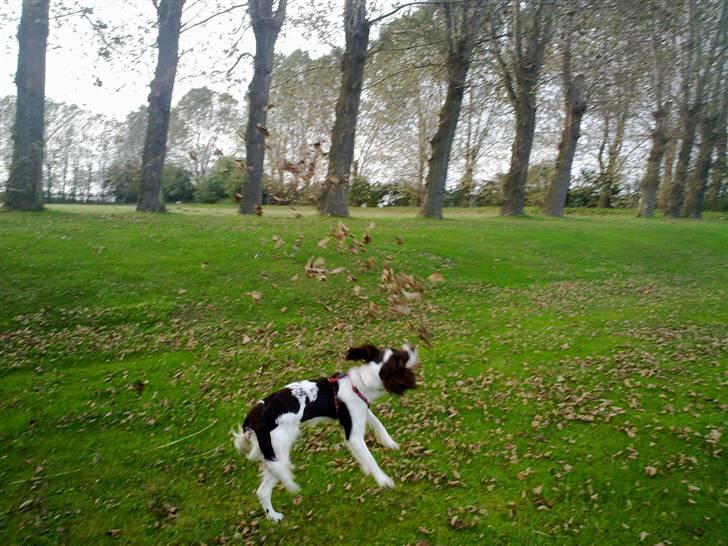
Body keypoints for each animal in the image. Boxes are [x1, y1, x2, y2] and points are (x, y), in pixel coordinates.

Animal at [230, 342, 418, 520]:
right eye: (402, 358)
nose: (413, 347)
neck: (360, 384)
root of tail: (258, 414)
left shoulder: (360, 411)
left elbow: (378, 424)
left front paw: (389, 443)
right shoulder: (353, 434)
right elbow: (370, 457)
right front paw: (383, 479)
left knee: (261, 491)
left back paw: (272, 516)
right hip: (278, 454)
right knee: (265, 488)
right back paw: (274, 516)